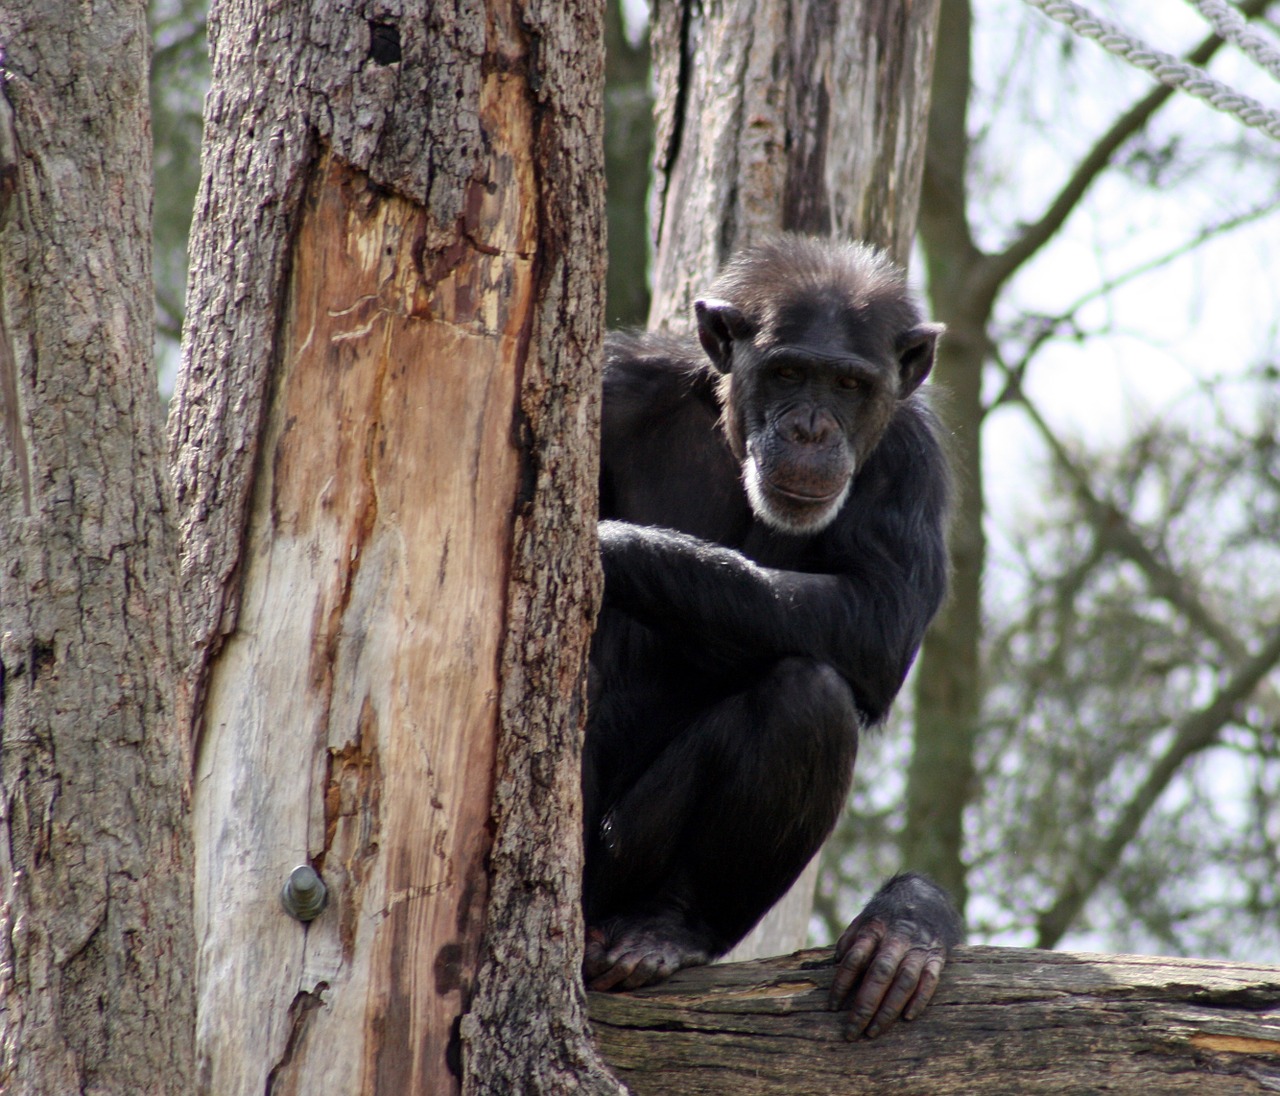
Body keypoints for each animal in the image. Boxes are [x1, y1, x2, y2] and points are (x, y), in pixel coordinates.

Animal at [581, 235, 962, 1039]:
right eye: (787, 372)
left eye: (848, 384)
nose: (811, 428)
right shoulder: (608, 387)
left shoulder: (912, 461)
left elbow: (878, 618)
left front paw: (606, 547)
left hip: (630, 864)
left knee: (807, 696)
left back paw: (667, 929)